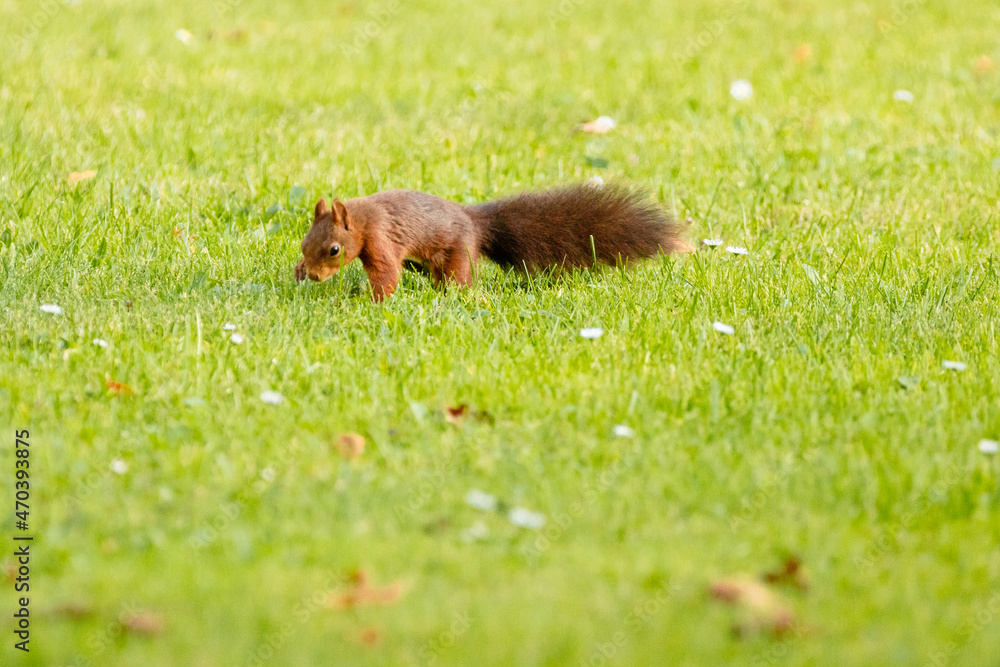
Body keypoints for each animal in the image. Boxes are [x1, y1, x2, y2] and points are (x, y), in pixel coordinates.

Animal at [294, 183, 692, 301]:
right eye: (303, 243)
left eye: (334, 250)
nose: (311, 276)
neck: (361, 220)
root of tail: (476, 222)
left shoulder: (380, 238)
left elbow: (386, 273)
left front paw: (371, 301)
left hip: (458, 250)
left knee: (459, 278)